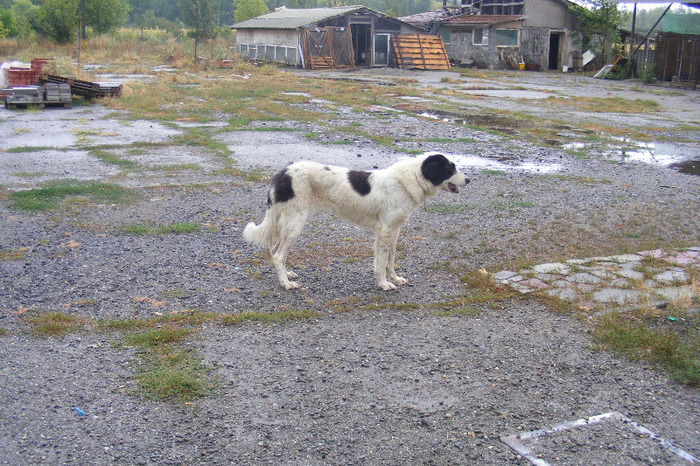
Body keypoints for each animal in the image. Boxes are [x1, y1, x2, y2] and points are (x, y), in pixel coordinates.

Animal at [243, 153, 468, 292]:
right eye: (451, 169)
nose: (469, 180)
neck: (411, 178)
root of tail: (283, 173)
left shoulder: (394, 230)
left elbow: (390, 260)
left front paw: (394, 278)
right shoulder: (385, 231)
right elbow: (381, 262)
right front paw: (384, 284)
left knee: (274, 251)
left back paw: (286, 275)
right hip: (295, 224)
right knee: (278, 254)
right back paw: (286, 283)